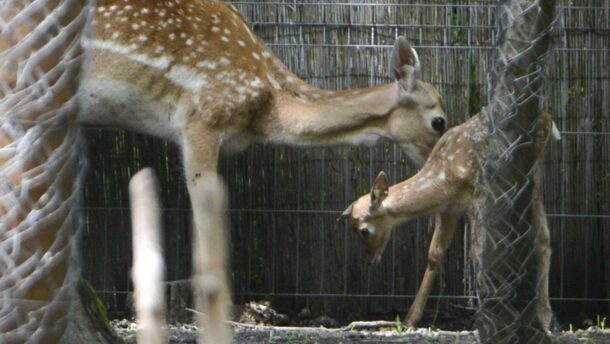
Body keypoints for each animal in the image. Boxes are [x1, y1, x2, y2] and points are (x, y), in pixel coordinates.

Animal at [340, 111, 560, 330]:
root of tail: (547, 117)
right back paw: (546, 317)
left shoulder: (477, 196)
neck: (443, 180)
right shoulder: (449, 210)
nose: (370, 259)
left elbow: (477, 251)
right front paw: (410, 319)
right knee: (543, 237)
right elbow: (434, 254)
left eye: (364, 230)